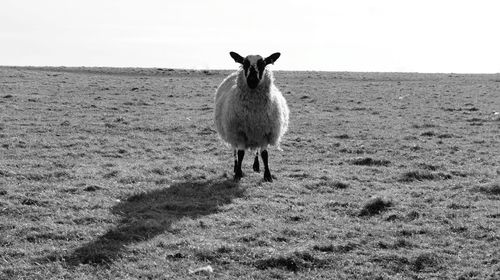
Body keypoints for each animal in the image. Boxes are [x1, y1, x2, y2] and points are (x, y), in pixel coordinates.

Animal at [214, 51, 290, 183]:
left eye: (263, 63)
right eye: (245, 63)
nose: (252, 80)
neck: (254, 113)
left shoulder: (265, 132)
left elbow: (264, 154)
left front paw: (267, 175)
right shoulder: (239, 132)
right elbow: (240, 153)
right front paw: (238, 174)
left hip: (256, 133)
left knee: (257, 151)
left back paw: (256, 166)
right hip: (231, 131)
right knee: (235, 150)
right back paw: (236, 167)